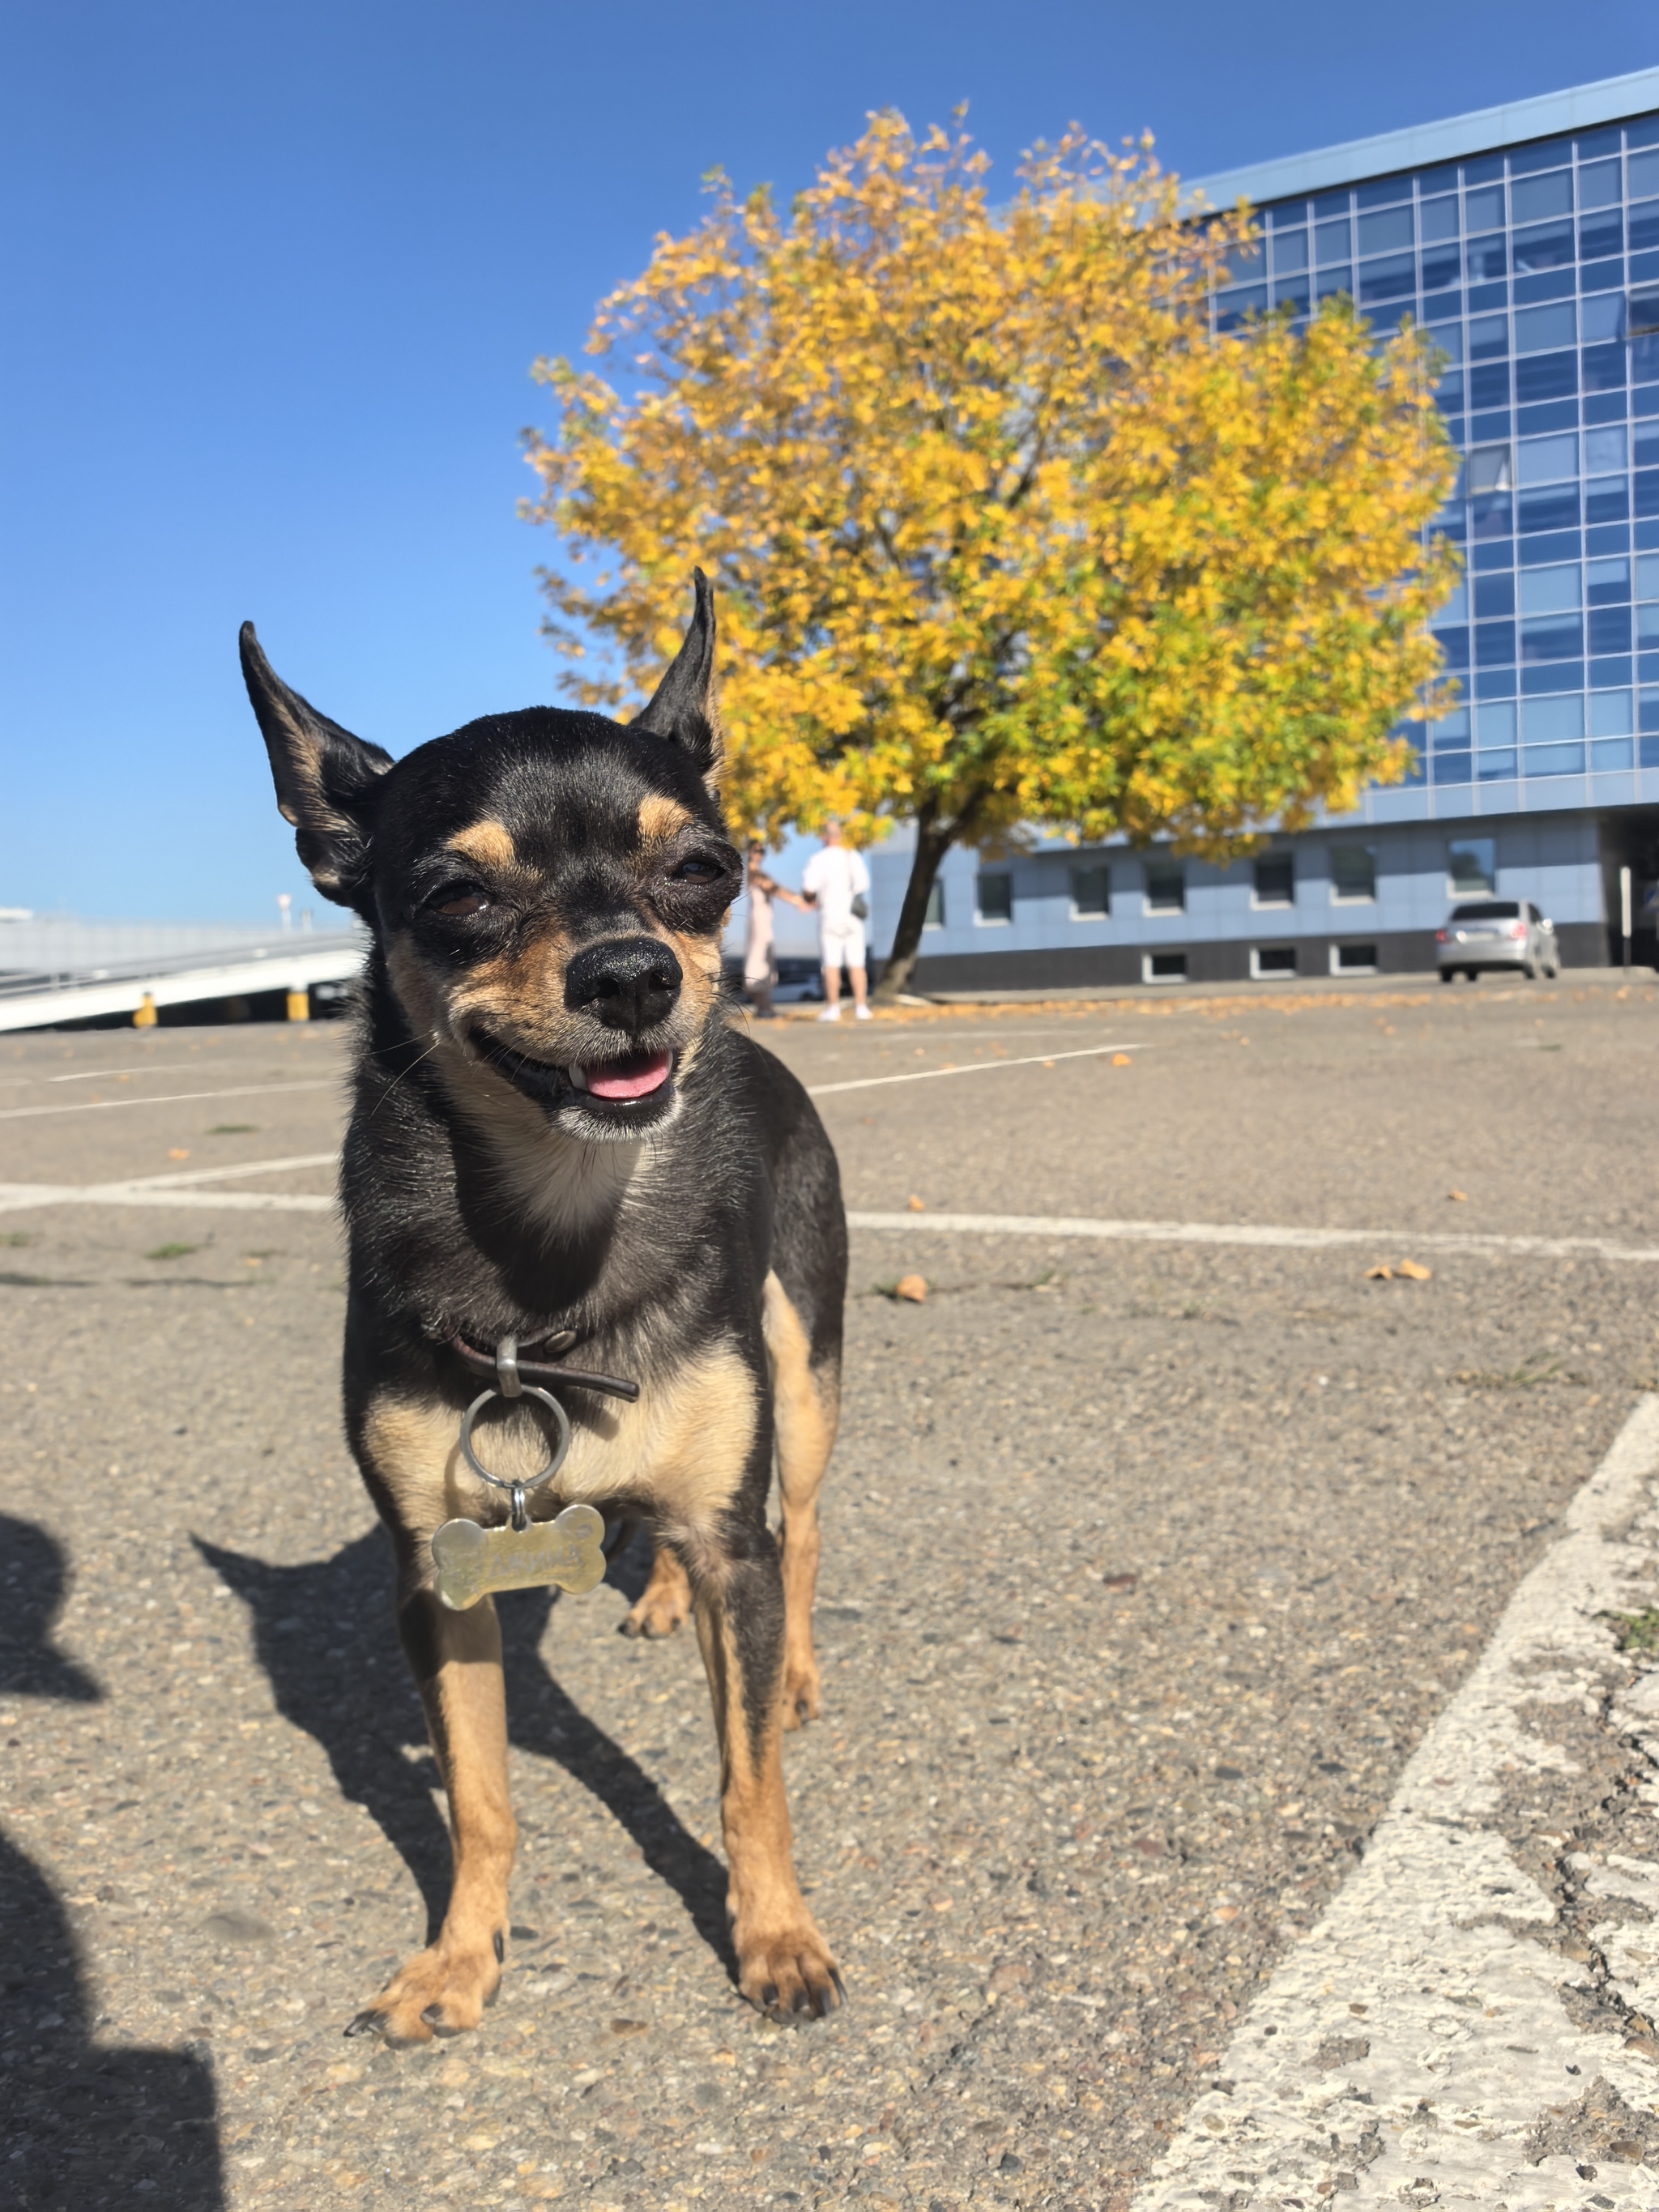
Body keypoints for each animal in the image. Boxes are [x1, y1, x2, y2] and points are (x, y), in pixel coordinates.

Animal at [240, 575, 849, 2035]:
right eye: (459, 892)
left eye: (704, 868)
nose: (632, 972)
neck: (556, 1233)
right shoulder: (437, 1573)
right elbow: (482, 1797)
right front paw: (460, 1956)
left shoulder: (733, 1527)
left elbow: (748, 1780)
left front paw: (776, 1934)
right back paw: (661, 1595)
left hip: (801, 1382)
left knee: (798, 1534)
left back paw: (795, 1666)